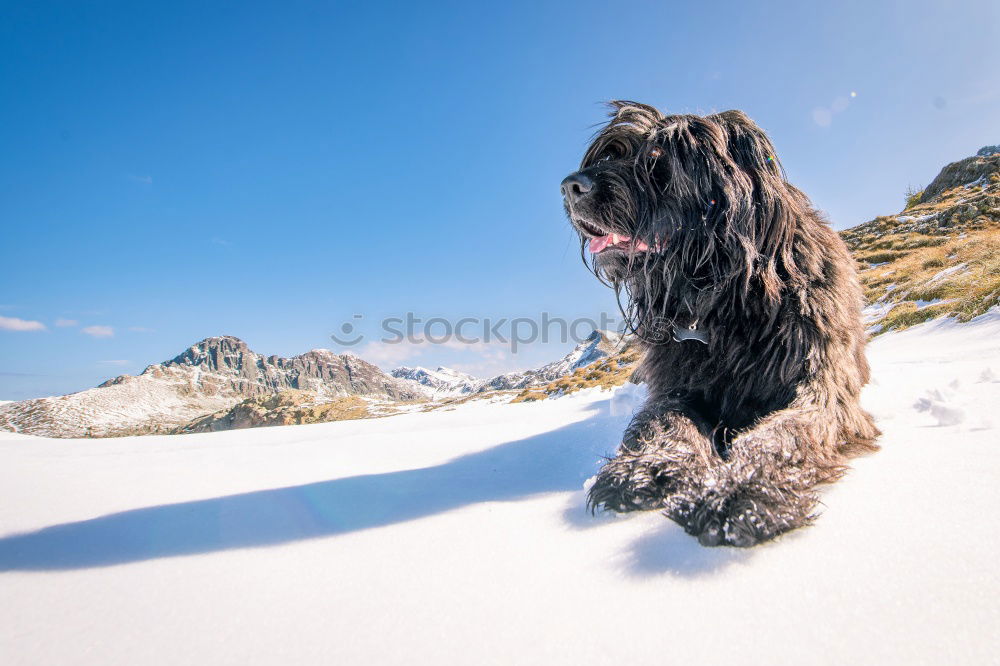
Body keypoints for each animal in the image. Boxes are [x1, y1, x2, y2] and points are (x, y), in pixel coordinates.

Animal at [564, 100, 884, 544]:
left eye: (657, 158)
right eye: (611, 153)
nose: (570, 187)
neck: (725, 300)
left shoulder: (821, 388)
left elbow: (783, 433)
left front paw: (740, 489)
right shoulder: (676, 385)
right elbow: (665, 420)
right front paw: (649, 467)